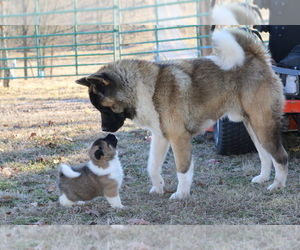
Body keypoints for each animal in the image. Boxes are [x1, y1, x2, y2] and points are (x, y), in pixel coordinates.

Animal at [75, 28, 288, 198]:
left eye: (105, 107)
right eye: (99, 108)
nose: (104, 128)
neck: (146, 89)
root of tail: (257, 57)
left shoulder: (179, 138)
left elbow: (183, 170)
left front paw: (181, 194)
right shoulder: (161, 137)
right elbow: (152, 167)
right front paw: (158, 188)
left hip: (263, 126)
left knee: (281, 157)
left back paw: (277, 185)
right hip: (253, 126)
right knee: (265, 156)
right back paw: (263, 178)